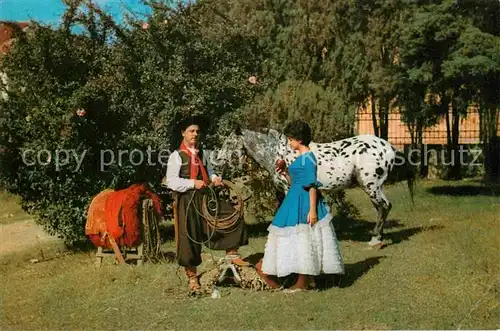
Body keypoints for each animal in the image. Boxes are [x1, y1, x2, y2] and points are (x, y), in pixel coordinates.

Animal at [215, 128, 414, 248]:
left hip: (371, 185)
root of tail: (388, 147)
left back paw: (375, 240)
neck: (279, 154)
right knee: (383, 207)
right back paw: (378, 237)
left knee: (383, 206)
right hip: (376, 187)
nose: (217, 161)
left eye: (229, 143)